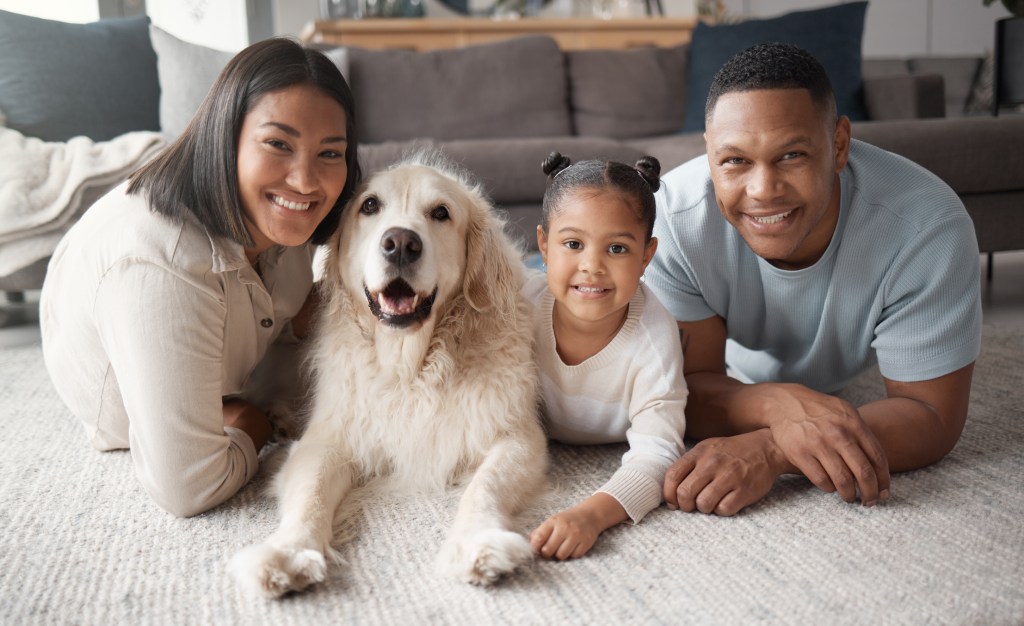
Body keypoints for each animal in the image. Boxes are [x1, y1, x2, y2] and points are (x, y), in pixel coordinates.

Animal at [231, 150, 548, 598]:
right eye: (369, 206)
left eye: (441, 213)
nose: (400, 243)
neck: (408, 367)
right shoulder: (328, 440)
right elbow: (310, 494)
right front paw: (287, 551)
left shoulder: (516, 436)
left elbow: (484, 487)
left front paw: (476, 543)